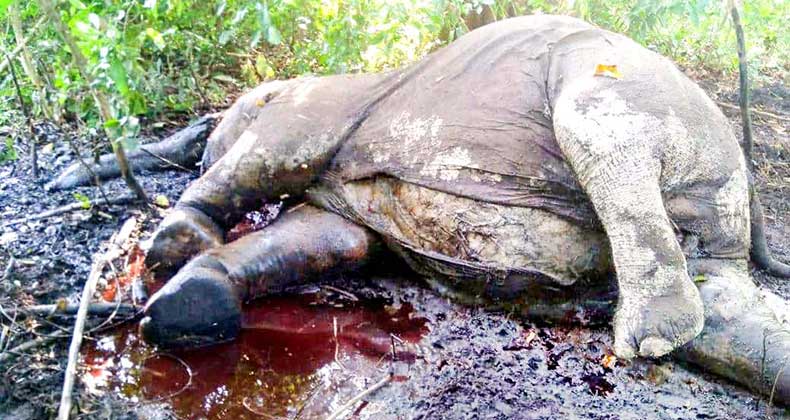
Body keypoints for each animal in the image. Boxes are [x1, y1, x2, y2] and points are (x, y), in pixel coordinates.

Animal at [82, 15, 787, 403]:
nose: (200, 145)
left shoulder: (317, 109)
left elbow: (275, 155)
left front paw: (174, 248)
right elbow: (334, 239)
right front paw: (186, 305)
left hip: (630, 85)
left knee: (601, 126)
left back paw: (649, 340)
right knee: (726, 306)